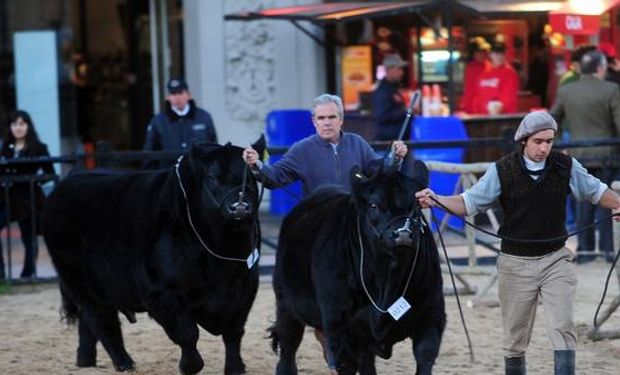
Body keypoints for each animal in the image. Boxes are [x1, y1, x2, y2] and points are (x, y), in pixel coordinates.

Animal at [41, 142, 264, 375]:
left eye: (252, 176)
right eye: (211, 176)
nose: (240, 207)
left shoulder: (245, 288)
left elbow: (234, 332)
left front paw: (236, 368)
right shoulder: (162, 293)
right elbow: (187, 334)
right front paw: (189, 366)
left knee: (89, 323)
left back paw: (86, 360)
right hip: (79, 282)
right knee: (102, 321)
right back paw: (124, 363)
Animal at [272, 169, 446, 374]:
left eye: (416, 206)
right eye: (373, 205)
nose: (403, 234)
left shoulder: (431, 315)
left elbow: (425, 355)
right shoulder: (338, 325)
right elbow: (345, 364)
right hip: (286, 305)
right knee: (288, 348)